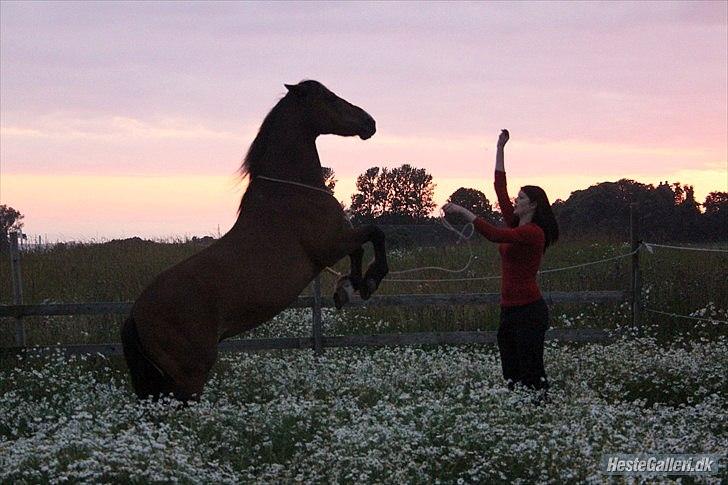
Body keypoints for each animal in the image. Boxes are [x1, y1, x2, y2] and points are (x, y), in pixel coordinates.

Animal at [121, 81, 386, 400]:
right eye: (330, 98)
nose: (369, 122)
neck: (292, 193)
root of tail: (135, 316)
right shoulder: (330, 246)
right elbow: (375, 234)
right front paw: (369, 281)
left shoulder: (337, 244)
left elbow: (360, 249)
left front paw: (350, 287)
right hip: (189, 377)